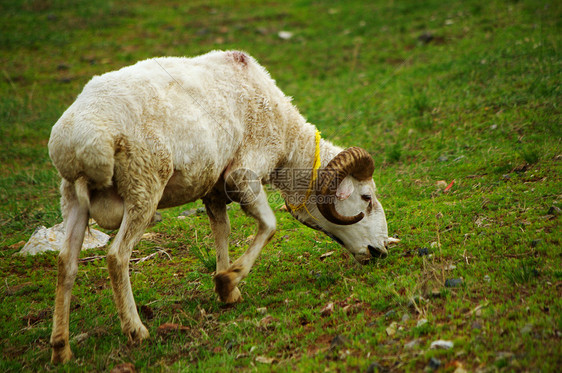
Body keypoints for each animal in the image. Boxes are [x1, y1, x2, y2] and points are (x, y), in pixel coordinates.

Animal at [49, 50, 398, 362]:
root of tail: (79, 143)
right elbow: (269, 226)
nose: (381, 250)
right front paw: (229, 280)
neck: (286, 136)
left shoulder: (214, 188)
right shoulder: (243, 173)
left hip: (72, 198)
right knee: (117, 256)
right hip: (143, 185)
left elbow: (222, 231)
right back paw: (136, 330)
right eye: (366, 198)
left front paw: (227, 289)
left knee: (66, 264)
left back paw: (61, 348)